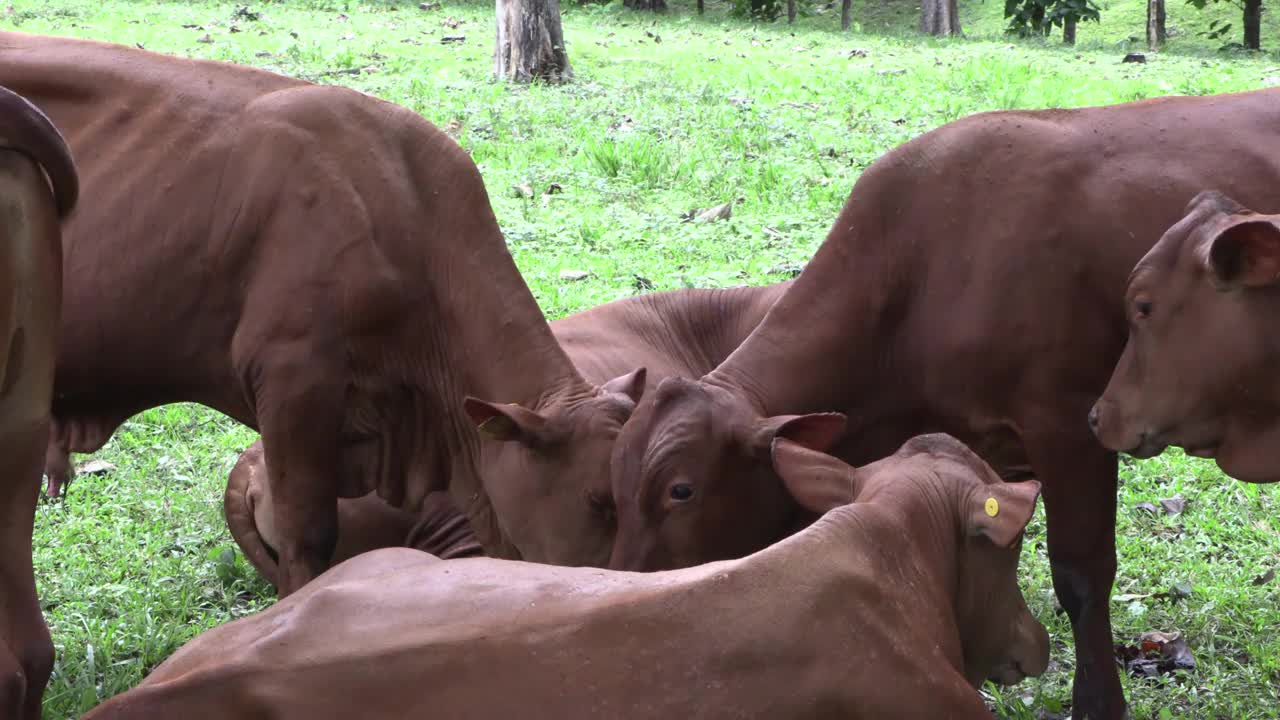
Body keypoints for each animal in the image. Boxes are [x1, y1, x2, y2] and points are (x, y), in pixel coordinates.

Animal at [604, 89, 1280, 717]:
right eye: (613, 488)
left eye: (681, 490)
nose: (620, 585)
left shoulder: (1071, 422)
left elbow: (1081, 574)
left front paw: (1097, 703)